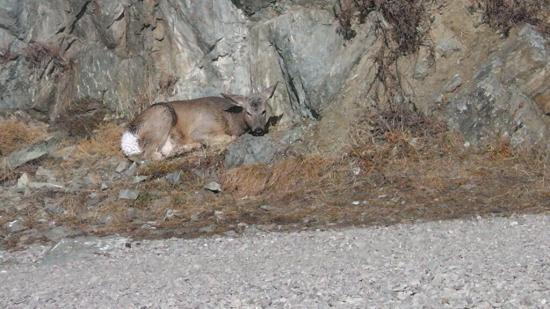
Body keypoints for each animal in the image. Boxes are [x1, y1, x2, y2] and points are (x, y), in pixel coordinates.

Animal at [120, 83, 278, 161]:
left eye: (264, 111)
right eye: (248, 112)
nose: (258, 130)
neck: (230, 119)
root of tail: (129, 135)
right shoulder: (199, 130)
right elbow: (230, 138)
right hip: (164, 114)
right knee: (147, 155)